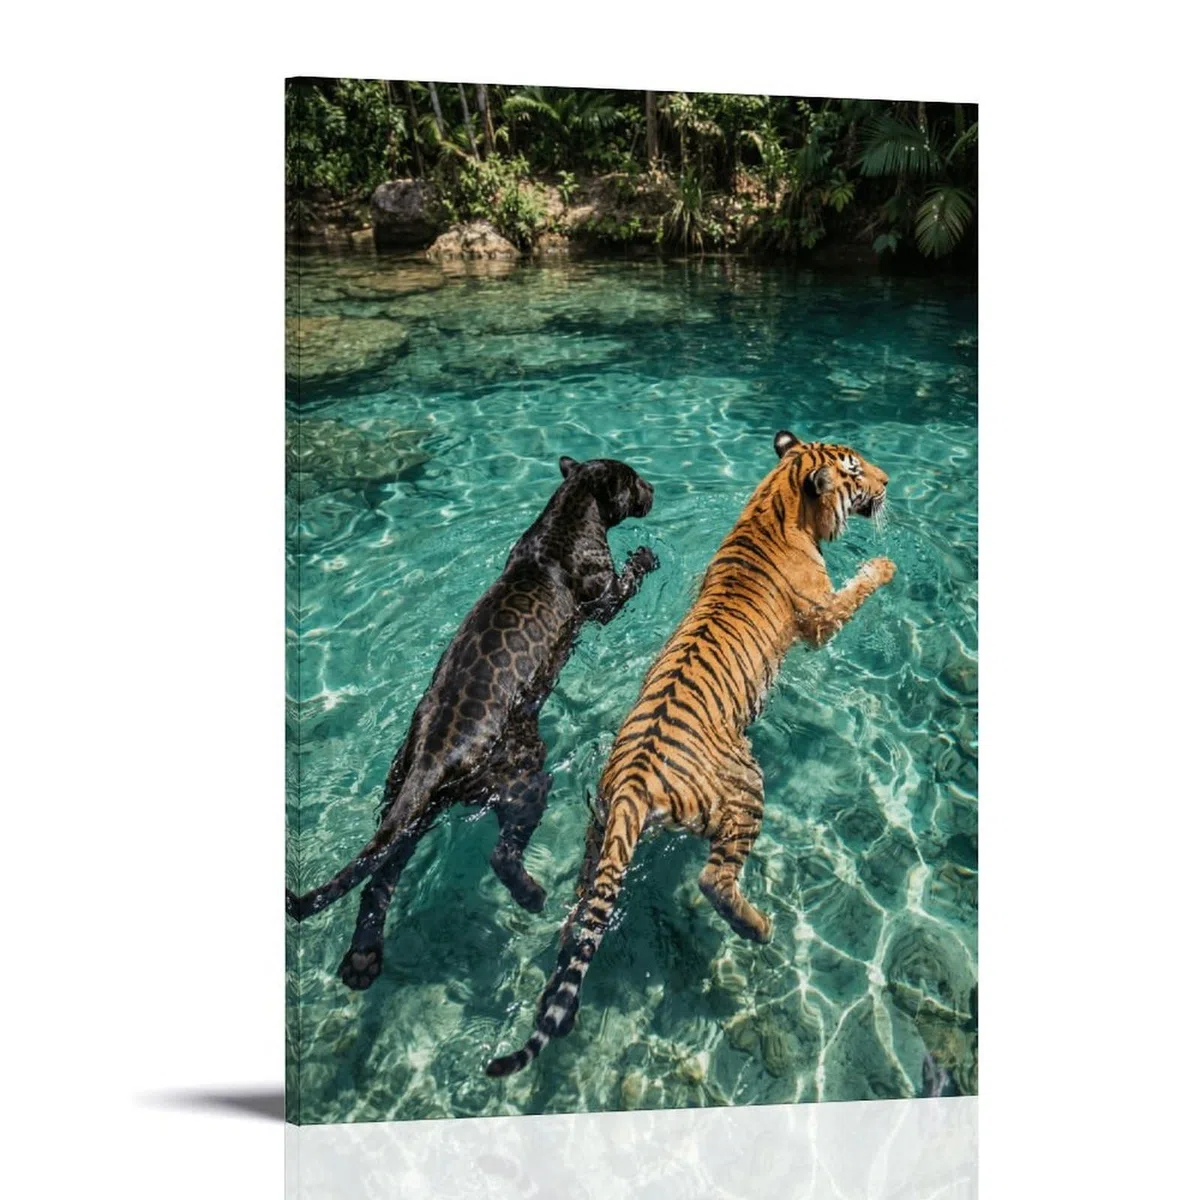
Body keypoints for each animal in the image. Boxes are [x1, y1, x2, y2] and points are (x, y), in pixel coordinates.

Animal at [486, 430, 894, 1077]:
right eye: (855, 469)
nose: (888, 482)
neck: (776, 504)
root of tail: (632, 783)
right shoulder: (821, 618)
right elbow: (853, 593)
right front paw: (883, 566)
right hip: (746, 788)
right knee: (713, 880)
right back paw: (761, 929)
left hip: (598, 839)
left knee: (579, 919)